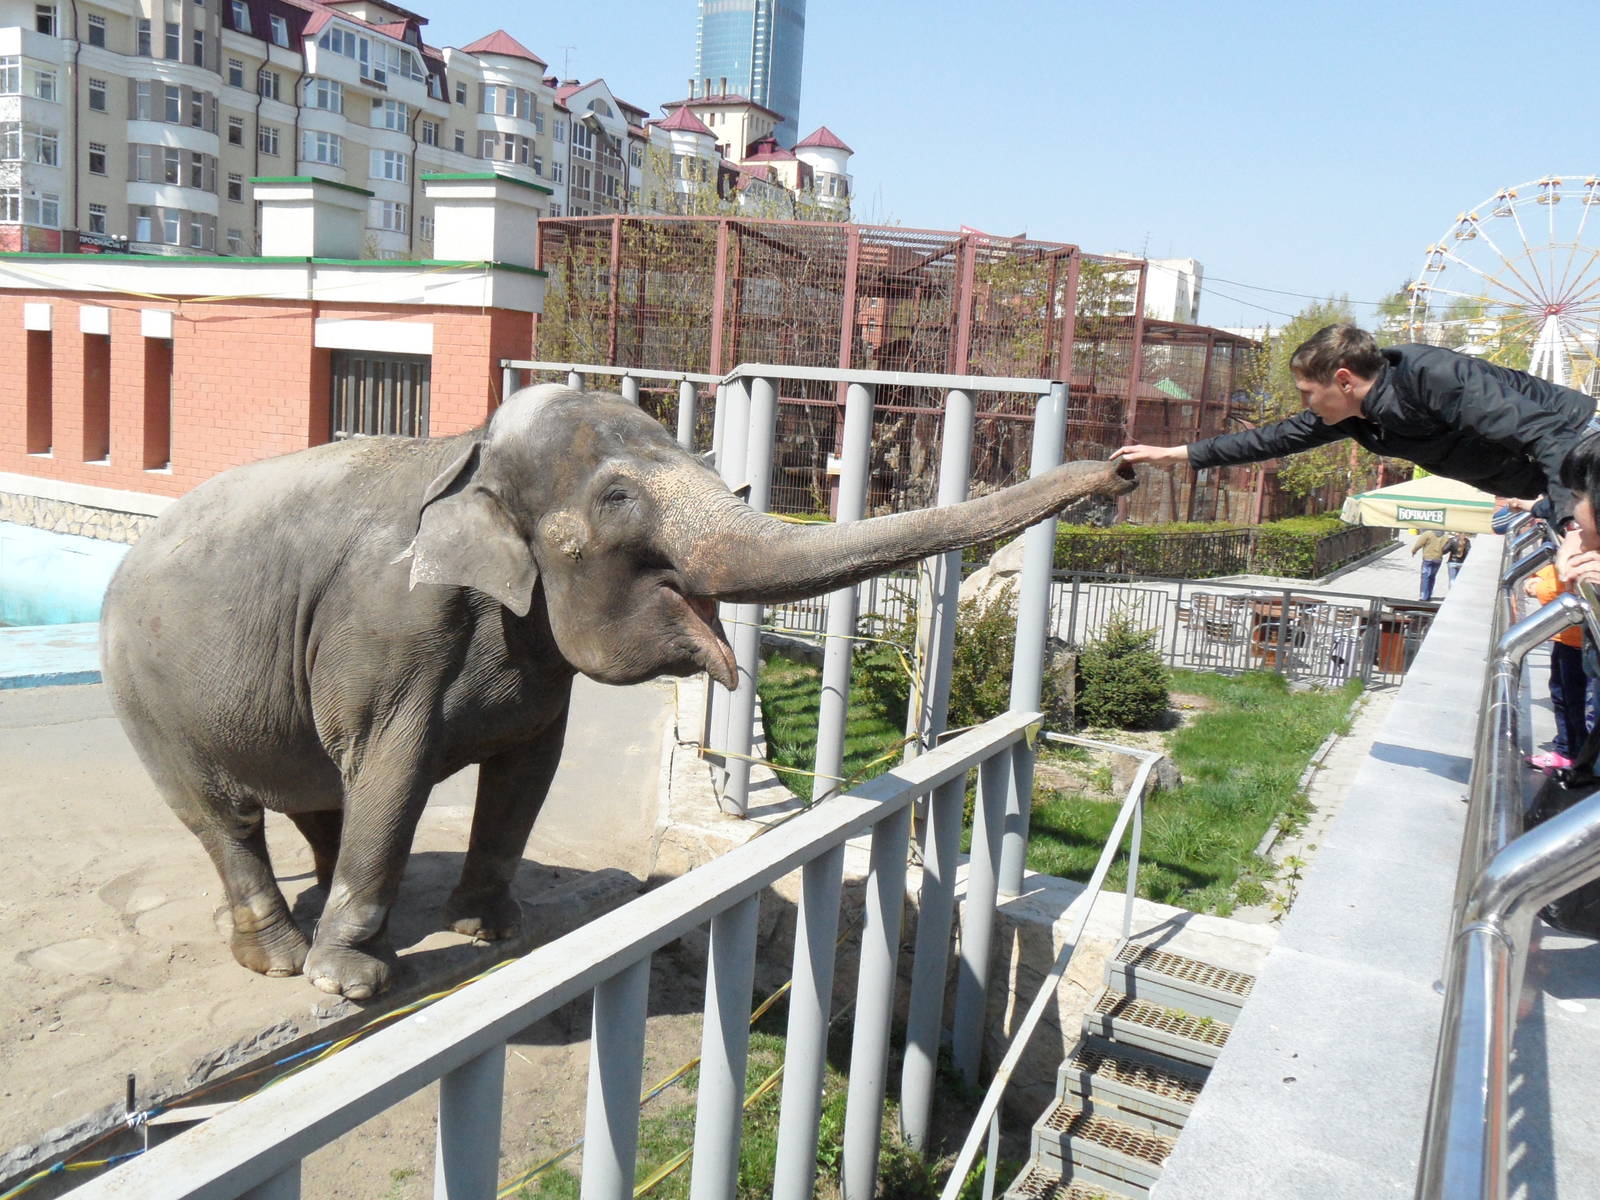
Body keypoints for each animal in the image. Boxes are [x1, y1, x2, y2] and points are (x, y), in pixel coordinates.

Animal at [99, 384, 1136, 999]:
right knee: (228, 819)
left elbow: (528, 769)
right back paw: (287, 957)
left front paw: (490, 929)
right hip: (143, 697)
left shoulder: (534, 669)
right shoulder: (390, 630)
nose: (1124, 467)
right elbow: (392, 770)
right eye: (618, 500)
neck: (469, 449)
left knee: (320, 798)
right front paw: (350, 982)